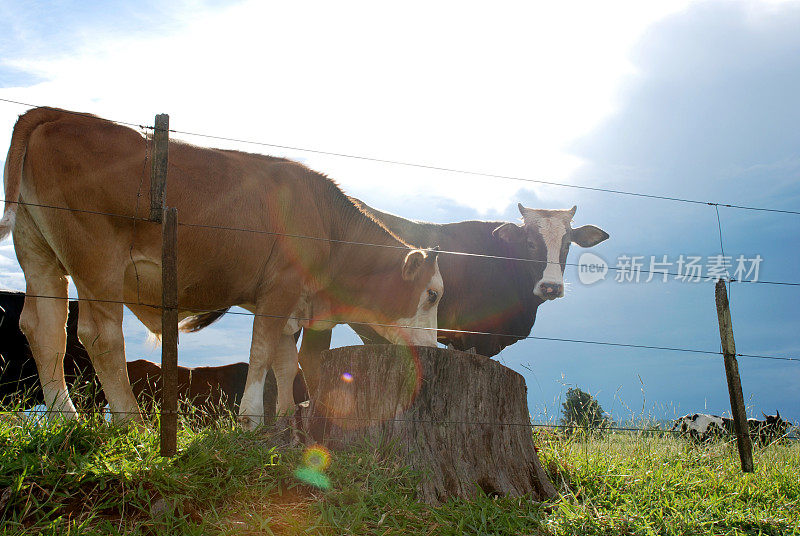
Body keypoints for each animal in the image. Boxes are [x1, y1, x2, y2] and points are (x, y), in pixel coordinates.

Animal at [0, 107, 440, 430]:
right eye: (433, 294)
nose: (433, 351)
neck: (327, 222)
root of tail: (58, 114)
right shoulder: (280, 288)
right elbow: (261, 351)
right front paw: (251, 419)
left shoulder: (291, 301)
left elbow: (285, 362)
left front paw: (283, 418)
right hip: (97, 260)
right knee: (99, 335)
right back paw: (131, 422)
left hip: (38, 254)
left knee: (44, 328)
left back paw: (66, 421)